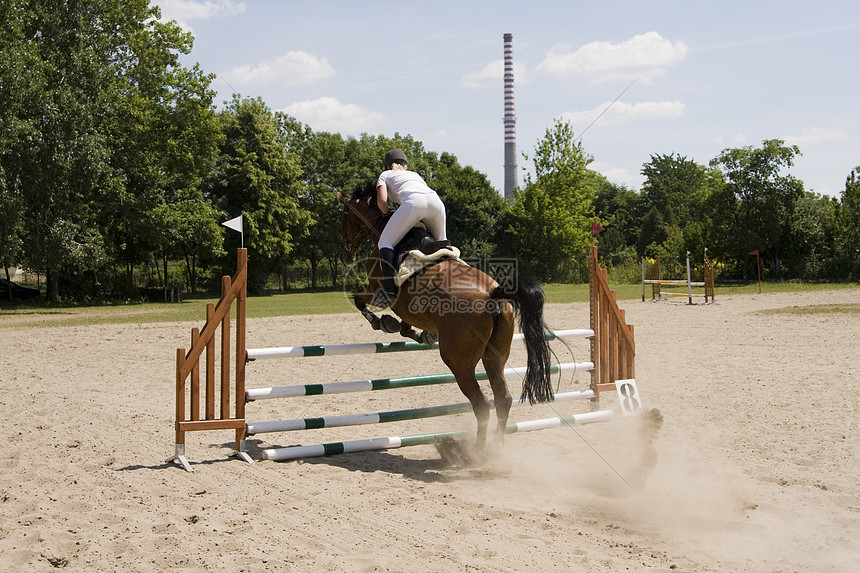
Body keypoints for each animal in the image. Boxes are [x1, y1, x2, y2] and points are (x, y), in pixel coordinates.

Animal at [336, 180, 556, 456]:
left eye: (344, 217)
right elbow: (407, 325)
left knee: (481, 403)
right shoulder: (409, 308)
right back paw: (497, 448)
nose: (345, 256)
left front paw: (383, 323)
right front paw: (421, 333)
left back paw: (477, 454)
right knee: (502, 399)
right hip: (494, 357)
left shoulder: (376, 288)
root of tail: (494, 294)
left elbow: (360, 301)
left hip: (458, 362)